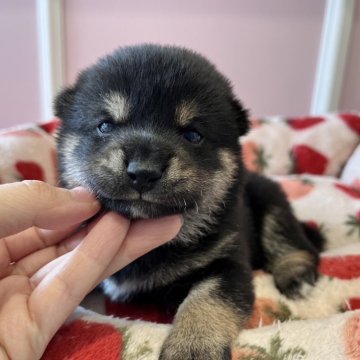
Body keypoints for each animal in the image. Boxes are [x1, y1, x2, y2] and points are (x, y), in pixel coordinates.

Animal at [55, 45, 320, 360]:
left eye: (193, 134)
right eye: (105, 125)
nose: (143, 171)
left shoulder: (226, 264)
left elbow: (206, 301)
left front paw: (192, 347)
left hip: (268, 194)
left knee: (287, 237)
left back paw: (297, 274)